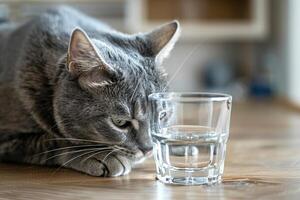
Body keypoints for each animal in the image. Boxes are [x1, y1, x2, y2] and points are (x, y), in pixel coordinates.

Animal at [0, 6, 179, 176]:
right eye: (120, 122)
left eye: (162, 115)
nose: (148, 149)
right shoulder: (8, 139)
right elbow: (54, 142)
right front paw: (101, 156)